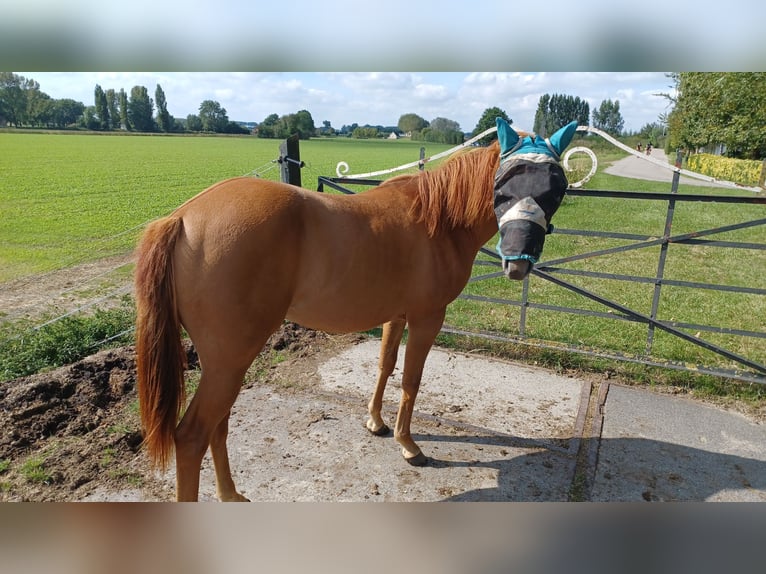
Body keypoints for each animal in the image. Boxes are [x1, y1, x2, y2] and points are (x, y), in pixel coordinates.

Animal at [134, 117, 577, 501]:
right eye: (502, 184)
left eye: (556, 188)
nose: (518, 263)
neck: (440, 220)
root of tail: (182, 218)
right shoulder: (427, 318)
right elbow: (411, 380)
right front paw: (408, 444)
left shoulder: (395, 316)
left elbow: (385, 366)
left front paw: (376, 422)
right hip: (230, 360)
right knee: (193, 436)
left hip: (226, 363)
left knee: (218, 426)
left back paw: (231, 495)